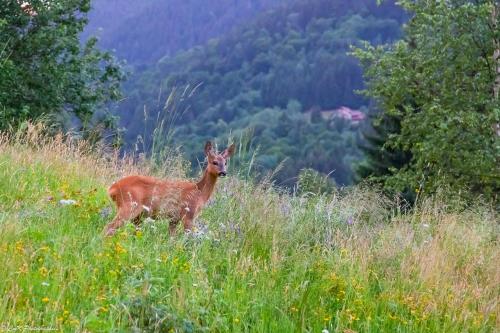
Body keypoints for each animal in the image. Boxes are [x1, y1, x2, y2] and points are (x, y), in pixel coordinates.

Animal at [104, 141, 236, 236]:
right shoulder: (188, 214)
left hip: (138, 216)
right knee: (108, 227)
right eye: (214, 162)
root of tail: (112, 189)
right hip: (129, 206)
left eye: (225, 162)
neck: (199, 192)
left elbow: (171, 239)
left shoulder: (174, 219)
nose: (223, 172)